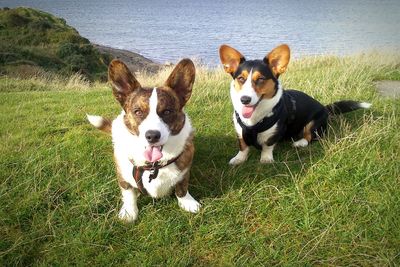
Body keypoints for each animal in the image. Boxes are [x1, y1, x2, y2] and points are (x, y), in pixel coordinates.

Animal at [87, 59, 200, 224]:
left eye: (167, 111)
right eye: (138, 112)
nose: (152, 136)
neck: (154, 165)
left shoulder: (184, 171)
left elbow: (182, 188)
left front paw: (188, 202)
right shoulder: (123, 176)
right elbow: (128, 194)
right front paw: (129, 212)